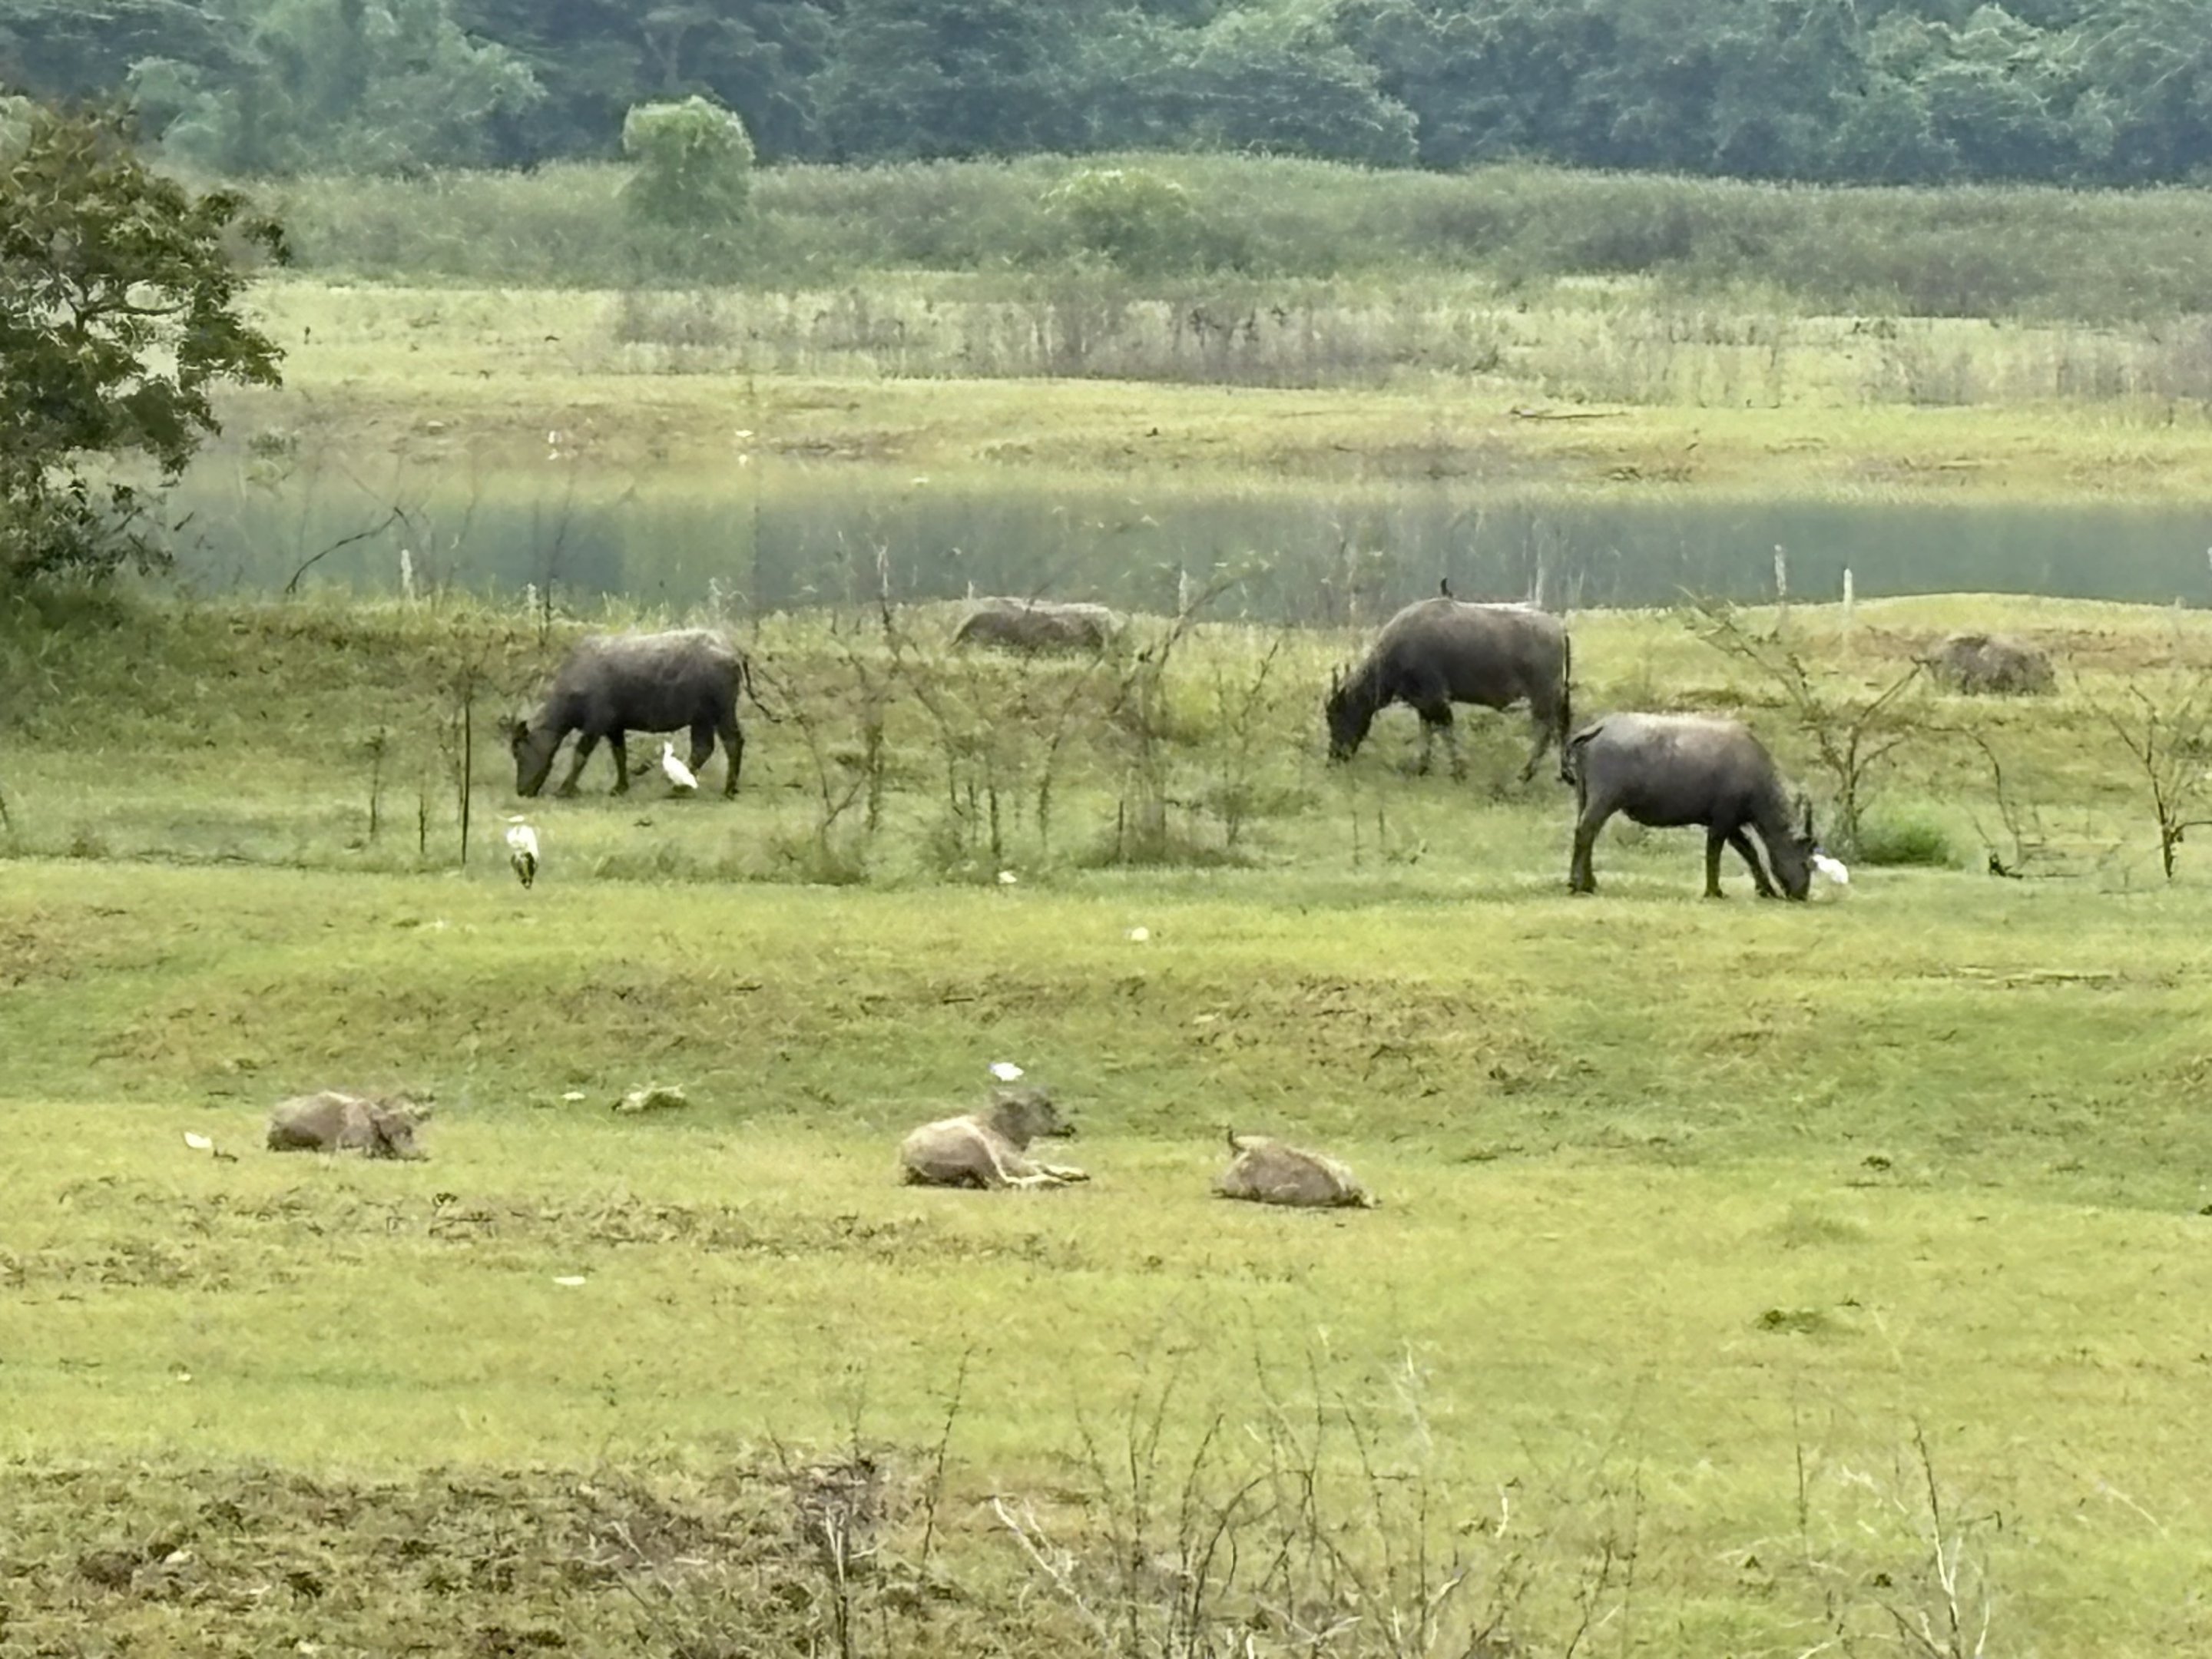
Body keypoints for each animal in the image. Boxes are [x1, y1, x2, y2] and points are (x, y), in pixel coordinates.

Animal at [505, 629, 757, 799]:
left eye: (518, 752)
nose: (521, 791)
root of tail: (733, 651)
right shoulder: (614, 727)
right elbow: (620, 755)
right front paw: (619, 787)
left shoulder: (596, 725)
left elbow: (580, 755)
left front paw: (565, 789)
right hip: (703, 718)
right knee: (706, 748)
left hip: (720, 712)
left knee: (728, 743)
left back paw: (716, 788)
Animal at [1326, 597, 1572, 781]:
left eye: (1336, 716)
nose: (1334, 757)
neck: (1393, 654)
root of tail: (1558, 627)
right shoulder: (1423, 704)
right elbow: (1426, 734)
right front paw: (1421, 768)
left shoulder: (1435, 700)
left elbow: (1445, 733)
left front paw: (1458, 771)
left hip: (1543, 695)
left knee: (1546, 731)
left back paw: (1526, 773)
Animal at [1565, 712, 1817, 900]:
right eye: (1807, 861)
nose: (1802, 894)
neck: (1756, 774)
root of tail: (1601, 726)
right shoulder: (1722, 823)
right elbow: (1714, 855)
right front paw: (1714, 891)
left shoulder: (1732, 825)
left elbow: (1750, 853)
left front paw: (1766, 889)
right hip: (1604, 800)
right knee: (1585, 832)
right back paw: (1579, 884)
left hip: (1584, 798)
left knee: (1585, 836)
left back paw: (1589, 882)